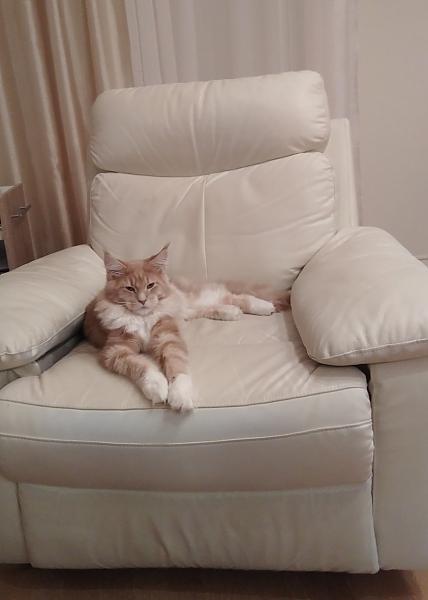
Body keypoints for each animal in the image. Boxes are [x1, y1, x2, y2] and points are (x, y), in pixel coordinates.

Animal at [84, 245, 290, 412]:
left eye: (150, 285)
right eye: (130, 289)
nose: (142, 300)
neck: (143, 318)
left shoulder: (168, 337)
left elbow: (177, 366)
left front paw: (180, 396)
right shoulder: (115, 350)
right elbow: (140, 365)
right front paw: (157, 386)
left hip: (193, 298)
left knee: (234, 296)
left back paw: (263, 306)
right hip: (188, 309)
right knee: (215, 305)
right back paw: (230, 312)